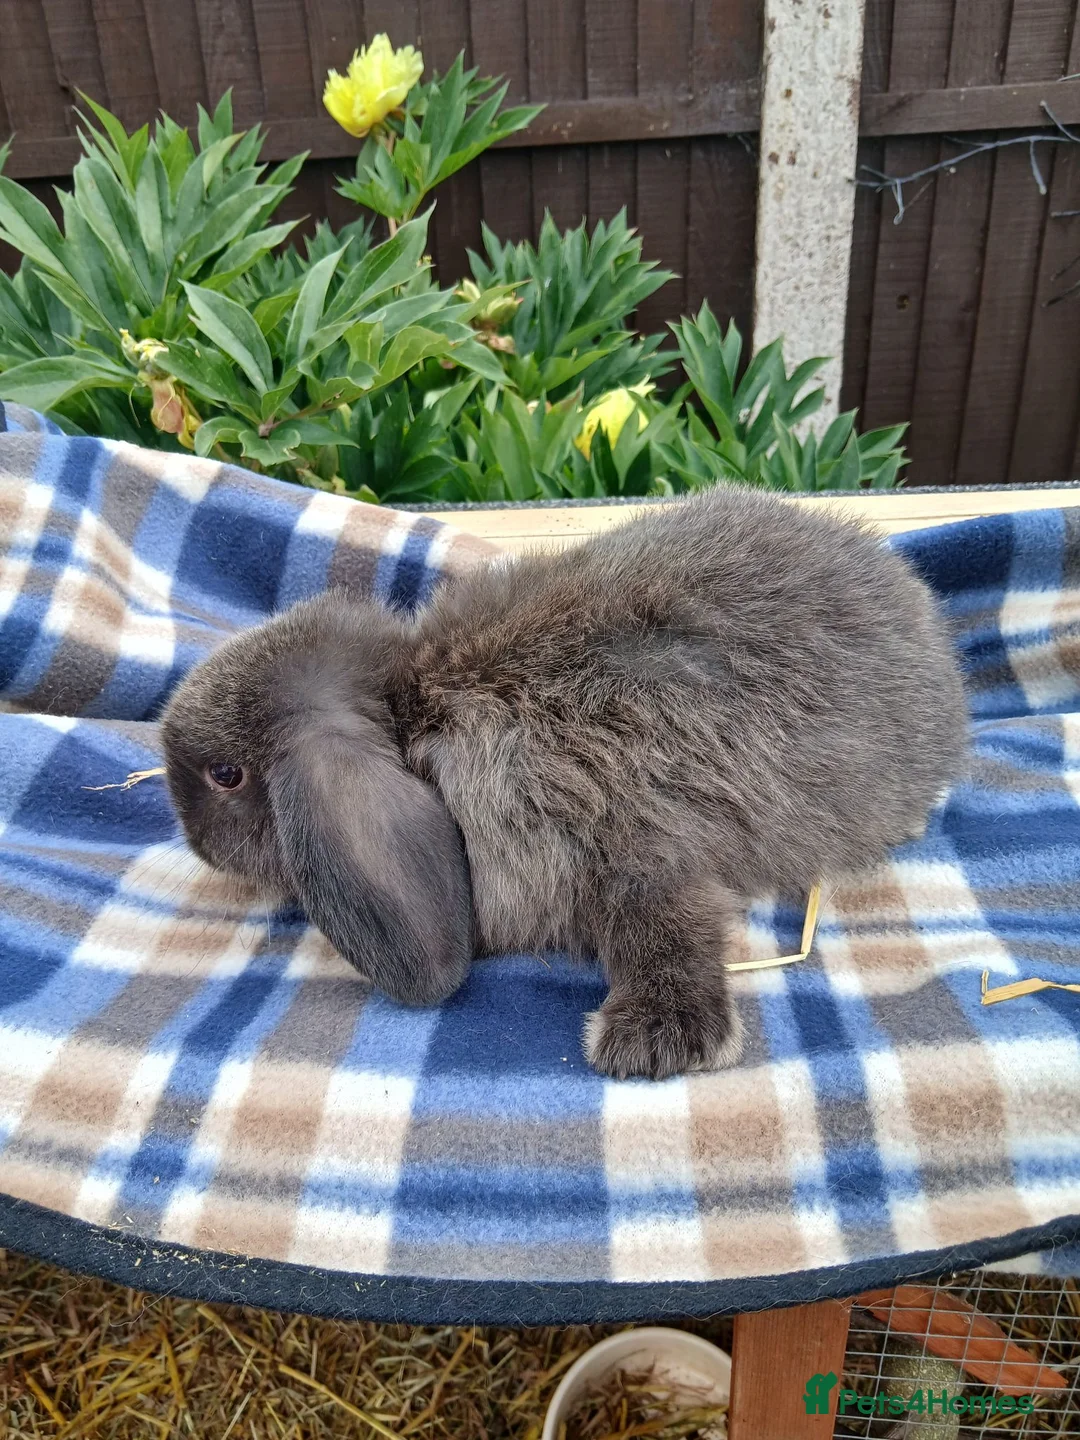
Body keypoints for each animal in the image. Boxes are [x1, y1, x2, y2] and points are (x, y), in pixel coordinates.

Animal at [161, 484, 968, 1080]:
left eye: (225, 775)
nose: (194, 844)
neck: (411, 713)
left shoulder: (619, 833)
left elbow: (667, 923)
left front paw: (656, 1041)